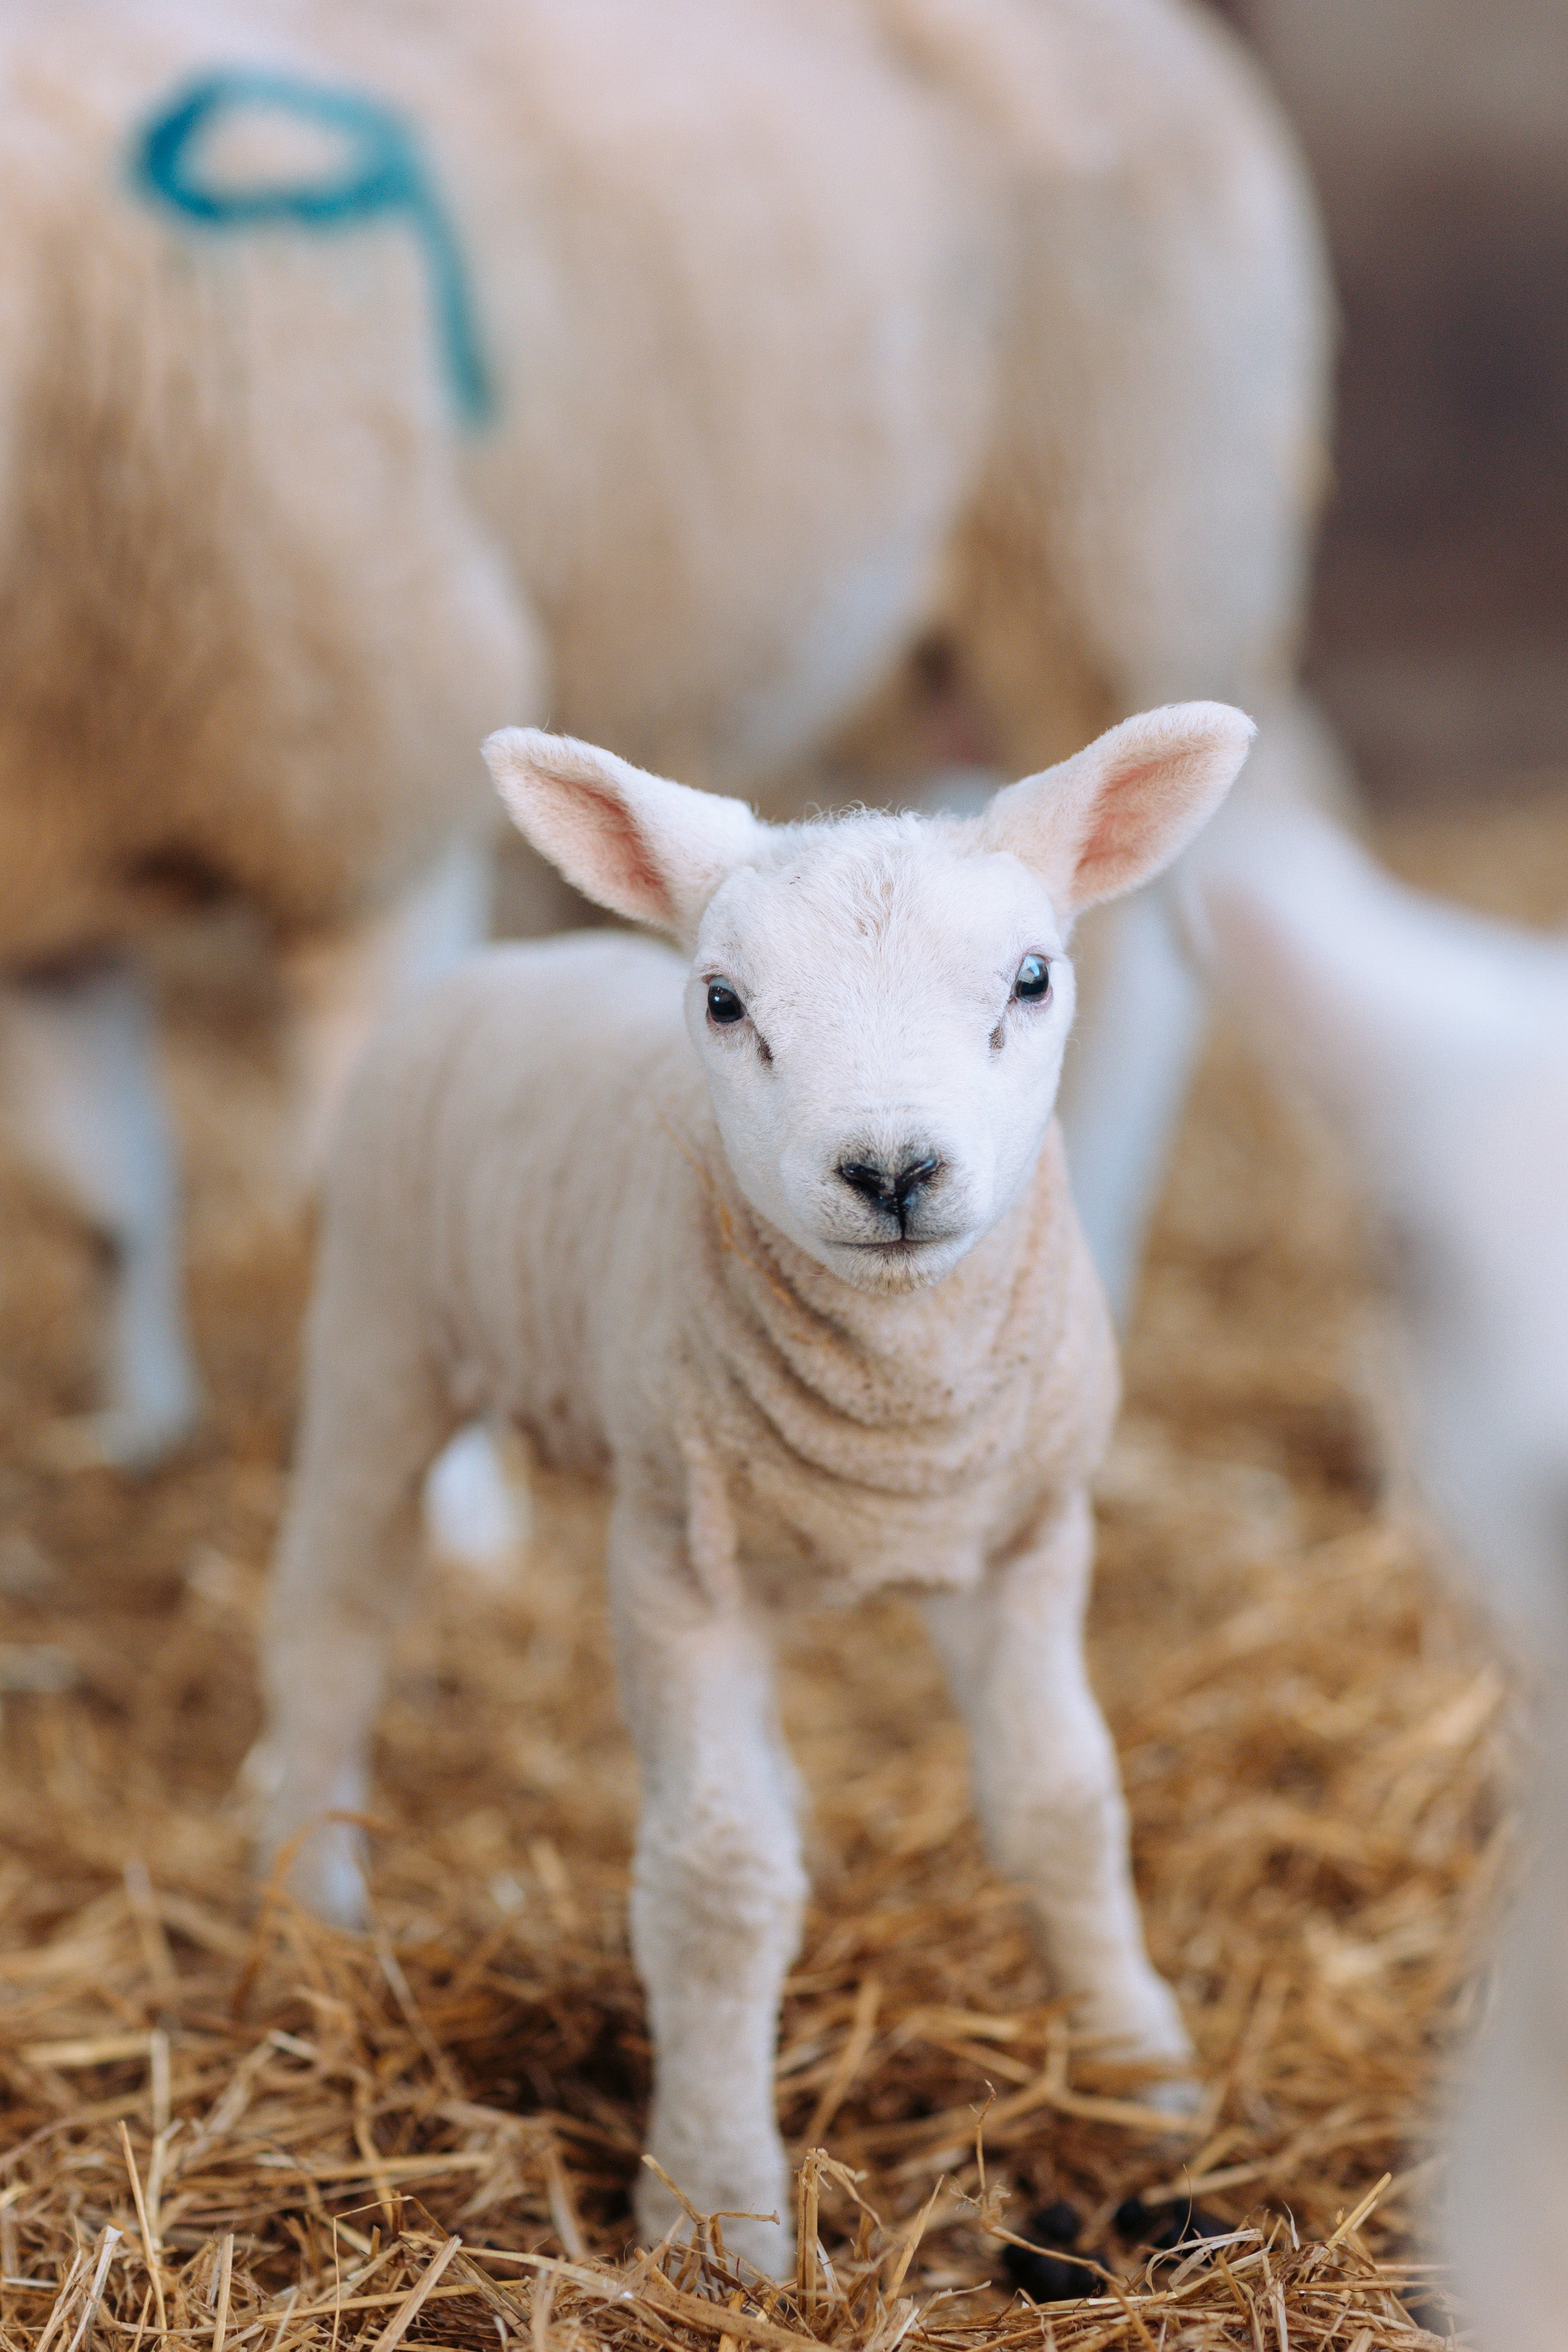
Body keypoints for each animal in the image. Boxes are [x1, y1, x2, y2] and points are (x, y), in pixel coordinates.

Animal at [0, 4, 1335, 1468]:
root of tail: (1174, 35)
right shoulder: (56, 880)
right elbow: (103, 1194)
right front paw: (136, 1425)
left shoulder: (378, 781)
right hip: (910, 654)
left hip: (1127, 553)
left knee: (1149, 968)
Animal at [260, 701, 1260, 2277]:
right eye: (725, 1001)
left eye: (1032, 977)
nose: (892, 1166)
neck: (901, 1415)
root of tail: (514, 956)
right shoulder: (673, 1563)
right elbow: (717, 1886)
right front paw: (715, 2214)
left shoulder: (1028, 1538)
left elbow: (1061, 1803)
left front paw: (1136, 2065)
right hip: (377, 1331)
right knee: (334, 1624)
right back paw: (310, 1903)